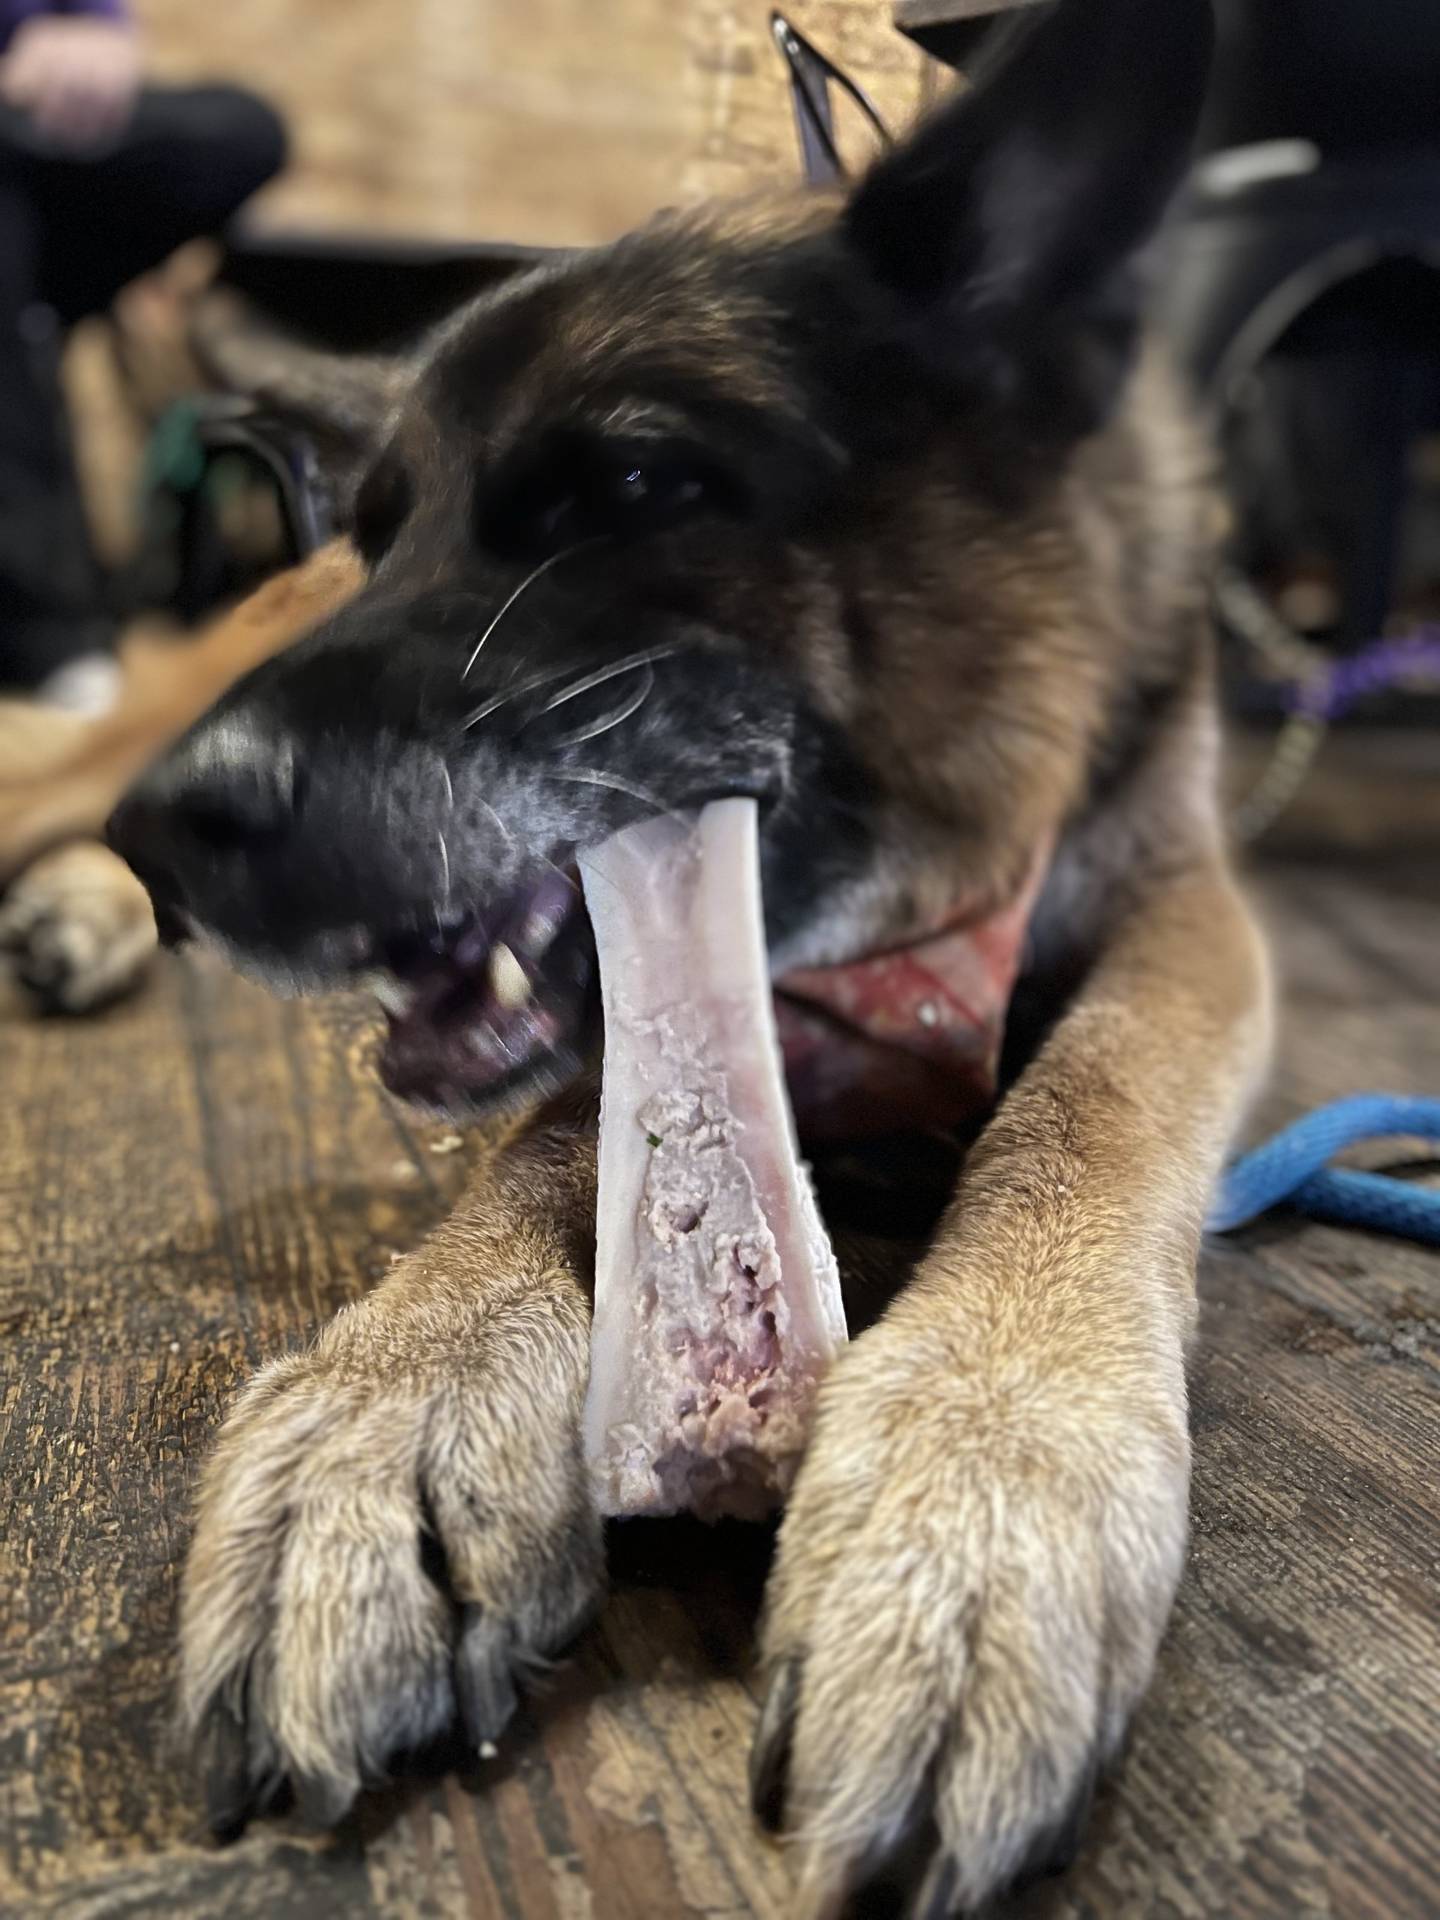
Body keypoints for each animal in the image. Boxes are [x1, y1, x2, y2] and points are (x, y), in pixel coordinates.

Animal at [104, 0, 1274, 1904]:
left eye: (636, 486)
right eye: (382, 536)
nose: (165, 840)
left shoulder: (1190, 906)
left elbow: (1093, 1096)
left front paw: (988, 1459)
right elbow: (559, 1130)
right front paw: (401, 1392)